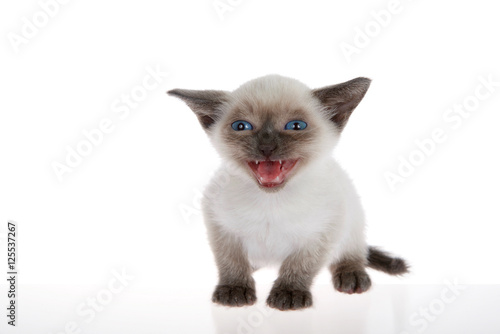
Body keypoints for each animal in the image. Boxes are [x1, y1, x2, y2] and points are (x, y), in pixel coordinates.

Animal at [168, 75, 406, 310]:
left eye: (296, 126)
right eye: (241, 126)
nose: (266, 148)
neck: (271, 200)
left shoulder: (321, 233)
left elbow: (300, 265)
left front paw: (289, 293)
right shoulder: (221, 227)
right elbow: (231, 261)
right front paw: (234, 289)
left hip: (352, 217)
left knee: (353, 252)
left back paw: (352, 276)